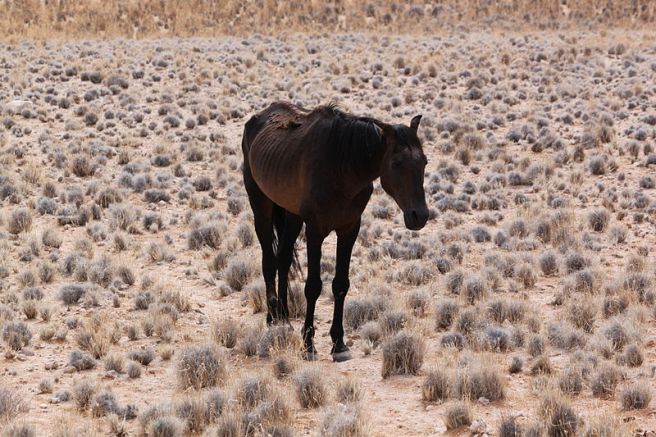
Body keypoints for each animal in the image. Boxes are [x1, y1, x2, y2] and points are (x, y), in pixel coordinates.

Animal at [241, 101, 428, 361]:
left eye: (424, 162)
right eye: (397, 163)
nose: (419, 216)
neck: (342, 168)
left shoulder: (349, 230)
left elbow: (340, 285)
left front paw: (339, 343)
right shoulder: (315, 231)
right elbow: (313, 287)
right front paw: (308, 344)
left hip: (292, 215)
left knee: (283, 259)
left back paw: (284, 318)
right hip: (261, 204)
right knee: (269, 261)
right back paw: (272, 319)